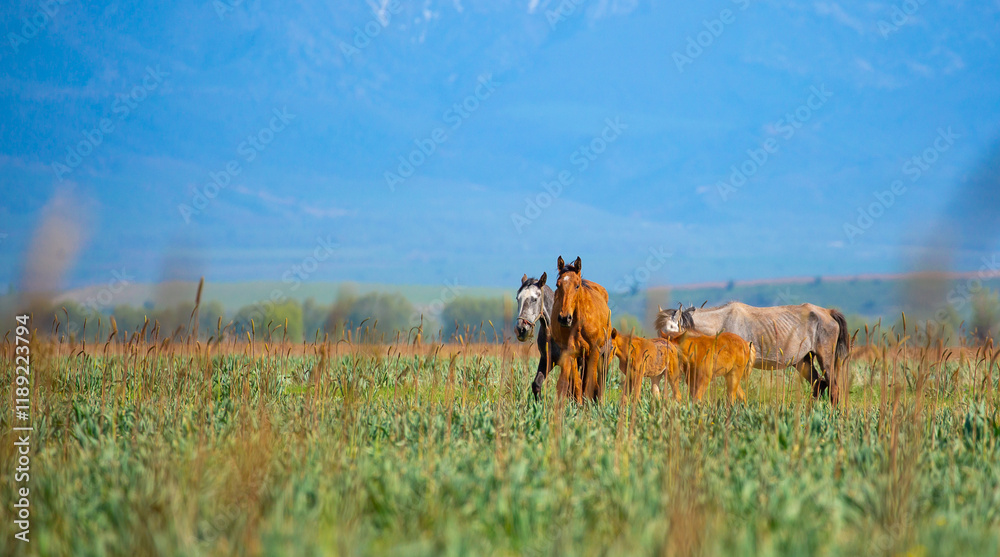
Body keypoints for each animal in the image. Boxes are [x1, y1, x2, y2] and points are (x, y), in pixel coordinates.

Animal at [550, 256, 612, 403]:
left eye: (577, 286)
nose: (564, 318)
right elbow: (574, 383)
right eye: (558, 285)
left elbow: (590, 383)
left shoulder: (594, 351)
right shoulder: (569, 352)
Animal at [655, 301, 850, 404]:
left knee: (833, 387)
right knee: (819, 385)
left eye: (672, 330)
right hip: (803, 361)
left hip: (825, 359)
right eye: (659, 332)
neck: (722, 321)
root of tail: (828, 313)